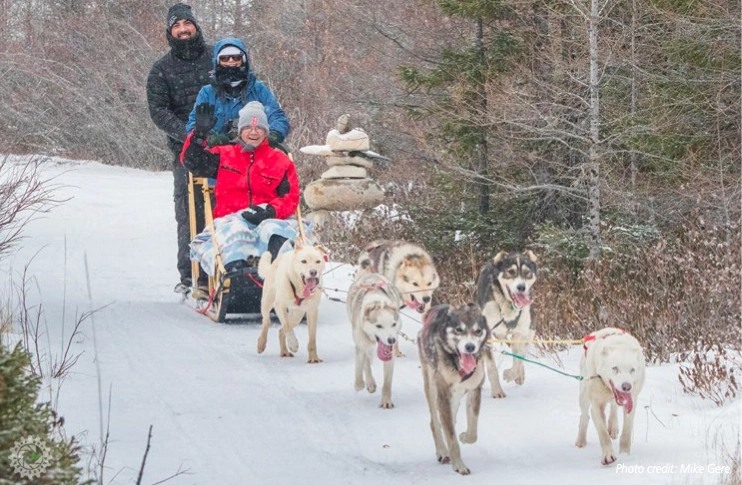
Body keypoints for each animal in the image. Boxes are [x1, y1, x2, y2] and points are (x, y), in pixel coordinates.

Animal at [348, 274, 404, 406]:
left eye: (393, 324)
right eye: (379, 326)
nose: (391, 340)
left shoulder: (389, 355)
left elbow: (387, 382)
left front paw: (386, 401)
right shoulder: (360, 345)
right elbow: (359, 374)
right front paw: (360, 384)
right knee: (366, 362)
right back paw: (370, 382)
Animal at [476, 250, 540, 398]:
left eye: (527, 272)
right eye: (511, 272)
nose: (521, 287)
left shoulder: (520, 332)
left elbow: (518, 358)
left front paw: (510, 374)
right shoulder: (487, 335)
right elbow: (492, 367)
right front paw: (497, 391)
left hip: (529, 330)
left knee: (520, 353)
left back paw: (519, 375)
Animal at [576, 328, 644, 464]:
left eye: (632, 370)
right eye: (615, 368)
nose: (626, 386)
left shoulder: (632, 403)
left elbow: (626, 432)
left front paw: (625, 454)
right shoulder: (596, 406)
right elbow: (603, 433)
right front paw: (608, 455)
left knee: (613, 407)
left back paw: (613, 427)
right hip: (584, 394)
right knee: (584, 416)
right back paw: (581, 440)